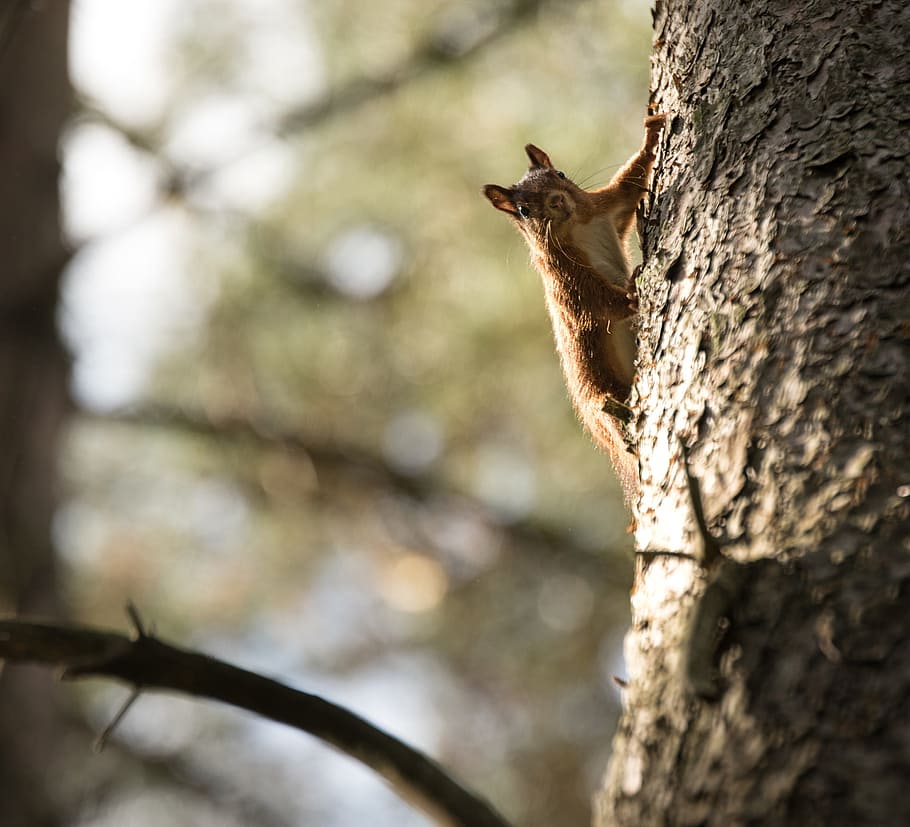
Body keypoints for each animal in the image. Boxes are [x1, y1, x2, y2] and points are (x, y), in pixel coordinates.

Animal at [483, 113, 667, 502]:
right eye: (524, 210)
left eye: (561, 174)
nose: (556, 201)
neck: (577, 226)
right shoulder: (566, 282)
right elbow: (598, 304)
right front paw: (632, 292)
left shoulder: (607, 208)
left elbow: (629, 184)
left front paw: (652, 133)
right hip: (604, 400)